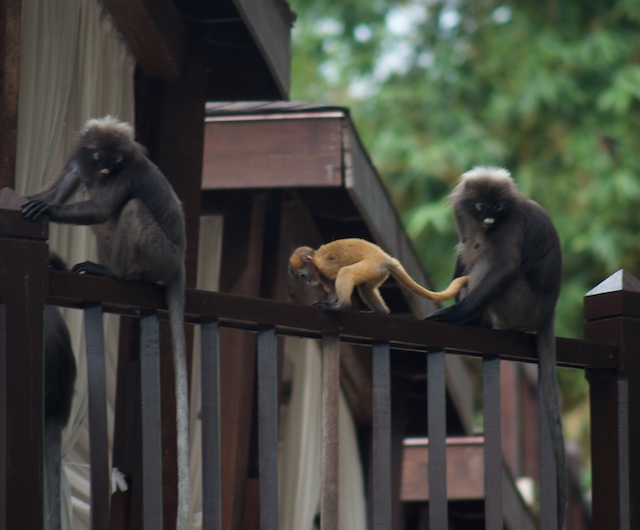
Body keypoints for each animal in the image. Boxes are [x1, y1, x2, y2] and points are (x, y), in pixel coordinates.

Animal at [22, 116, 191, 528]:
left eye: (115, 161)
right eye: (100, 156)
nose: (105, 170)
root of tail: (179, 261)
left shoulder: (127, 172)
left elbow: (99, 209)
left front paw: (45, 211)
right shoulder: (79, 158)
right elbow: (62, 187)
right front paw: (34, 199)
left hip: (160, 254)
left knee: (130, 208)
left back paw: (115, 273)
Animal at [288, 236, 468, 314]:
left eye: (301, 275)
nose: (306, 281)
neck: (315, 260)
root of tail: (384, 257)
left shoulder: (324, 266)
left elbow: (339, 273)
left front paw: (334, 303)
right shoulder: (321, 275)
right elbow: (332, 291)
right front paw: (329, 300)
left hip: (372, 265)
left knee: (347, 272)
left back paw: (343, 306)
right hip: (377, 272)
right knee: (365, 288)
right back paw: (382, 312)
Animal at [424, 165, 564, 524]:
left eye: (497, 207)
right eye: (482, 206)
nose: (489, 218)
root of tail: (549, 310)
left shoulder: (511, 224)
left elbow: (504, 264)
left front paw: (457, 313)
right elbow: (464, 247)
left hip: (520, 304)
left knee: (490, 256)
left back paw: (474, 319)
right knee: (471, 248)